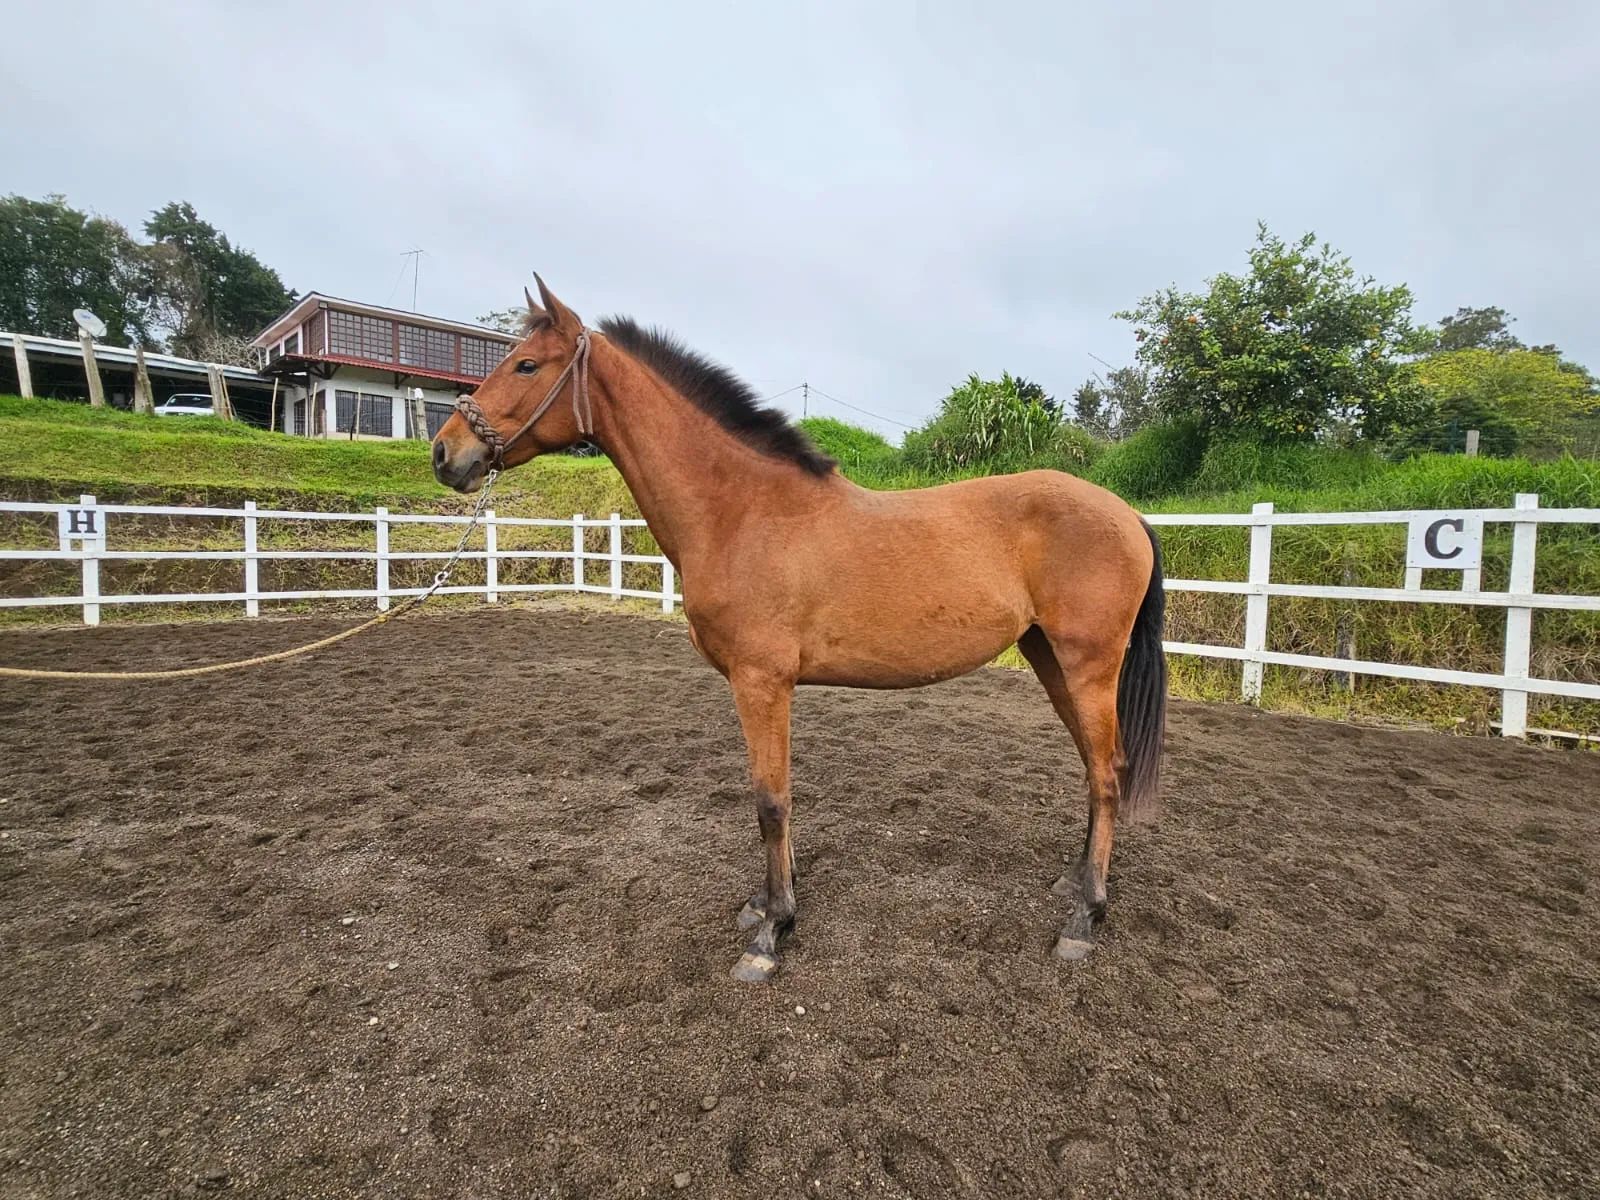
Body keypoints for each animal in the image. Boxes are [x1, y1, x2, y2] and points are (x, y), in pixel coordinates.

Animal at [432, 277, 1167, 982]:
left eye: (526, 365)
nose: (445, 453)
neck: (742, 511)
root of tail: (1127, 514)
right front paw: (763, 905)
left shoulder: (762, 682)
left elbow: (771, 800)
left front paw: (772, 932)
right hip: (1050, 659)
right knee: (1096, 769)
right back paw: (1075, 882)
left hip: (1088, 664)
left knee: (1107, 774)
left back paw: (1083, 920)